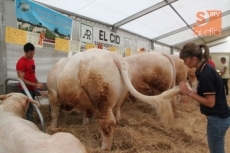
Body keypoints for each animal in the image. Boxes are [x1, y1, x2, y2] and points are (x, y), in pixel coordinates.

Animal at [45, 49, 181, 151]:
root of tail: (114, 56)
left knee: (107, 123)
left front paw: (52, 128)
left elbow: (54, 113)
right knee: (117, 115)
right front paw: (85, 123)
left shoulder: (52, 93)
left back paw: (104, 148)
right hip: (120, 97)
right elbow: (84, 111)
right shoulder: (83, 99)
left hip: (102, 100)